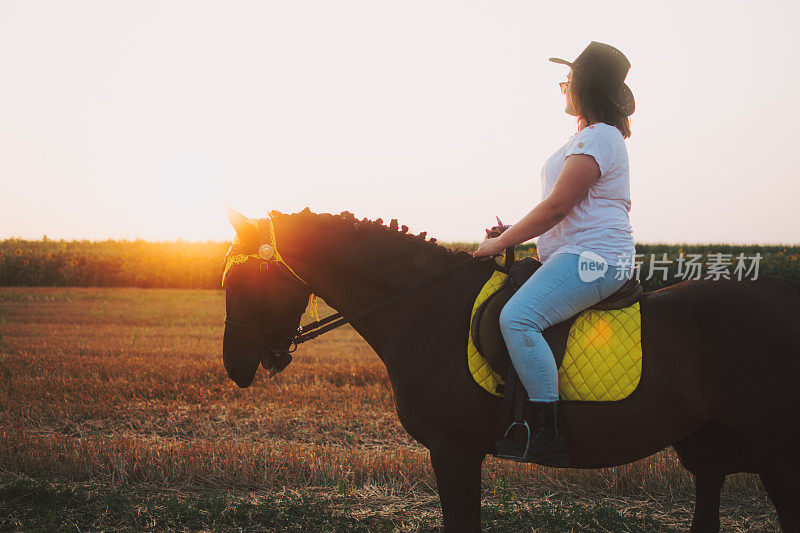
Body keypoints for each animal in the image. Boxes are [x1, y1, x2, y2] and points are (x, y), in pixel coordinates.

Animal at [220, 208, 800, 532]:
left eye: (244, 280)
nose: (235, 367)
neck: (427, 305)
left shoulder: (453, 451)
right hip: (711, 448)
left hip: (776, 453)